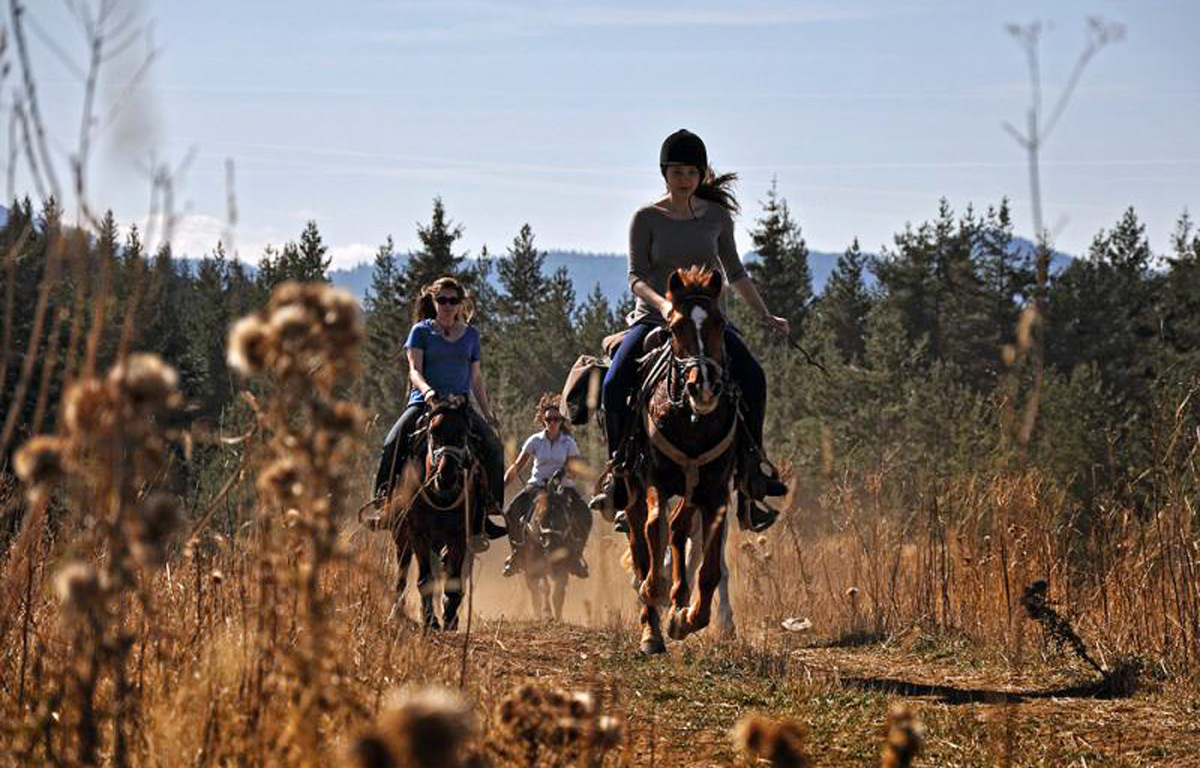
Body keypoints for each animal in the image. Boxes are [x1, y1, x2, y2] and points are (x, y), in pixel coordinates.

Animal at [619, 265, 739, 652]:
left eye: (719, 322)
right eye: (674, 327)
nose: (703, 386)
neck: (692, 420)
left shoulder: (715, 492)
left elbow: (710, 568)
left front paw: (687, 618)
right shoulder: (655, 478)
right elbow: (655, 529)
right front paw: (656, 594)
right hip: (631, 490)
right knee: (642, 542)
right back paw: (650, 629)